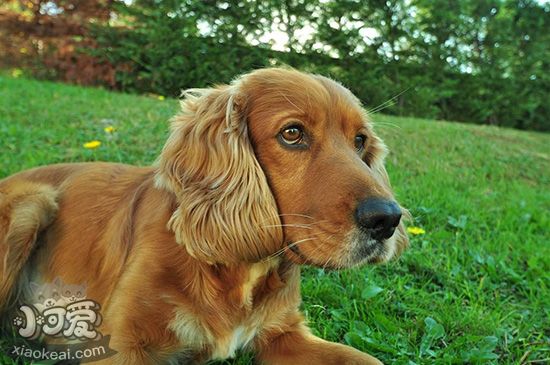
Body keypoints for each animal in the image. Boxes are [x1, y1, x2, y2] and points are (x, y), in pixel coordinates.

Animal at [1, 67, 410, 362]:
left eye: (360, 140)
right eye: (292, 133)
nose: (387, 219)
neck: (238, 270)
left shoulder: (284, 334)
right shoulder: (121, 343)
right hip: (32, 205)